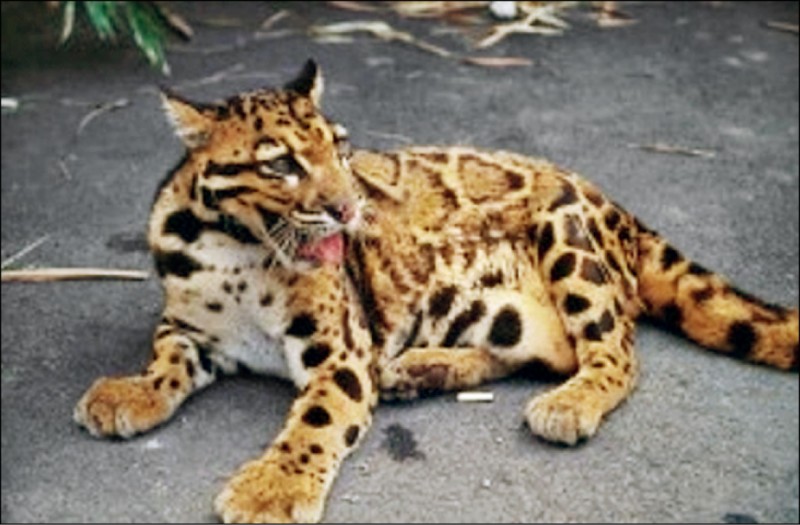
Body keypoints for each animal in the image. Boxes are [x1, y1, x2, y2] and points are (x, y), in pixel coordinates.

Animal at [72, 60, 796, 520]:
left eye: (340, 148)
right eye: (280, 163)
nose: (348, 208)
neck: (237, 249)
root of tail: (617, 204)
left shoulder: (342, 351)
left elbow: (315, 418)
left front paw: (271, 489)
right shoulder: (188, 326)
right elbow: (166, 359)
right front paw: (130, 391)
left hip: (568, 236)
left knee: (612, 351)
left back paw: (569, 401)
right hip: (498, 308)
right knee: (549, 350)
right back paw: (420, 368)